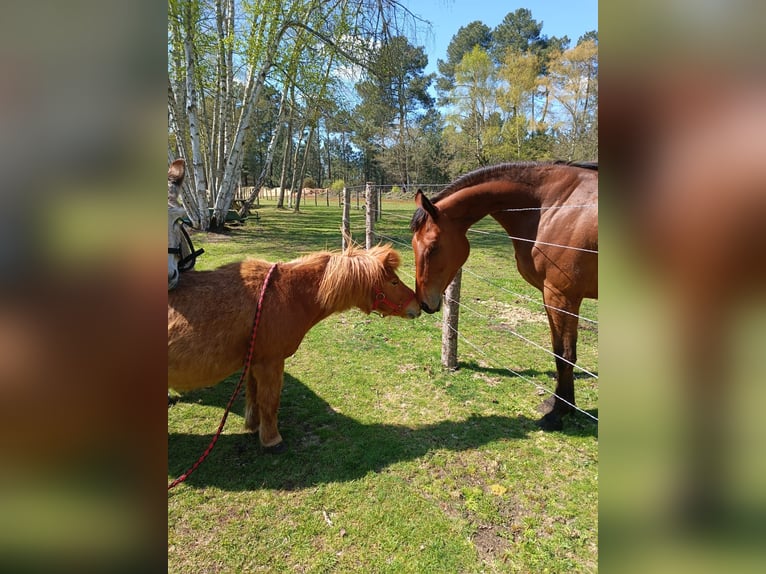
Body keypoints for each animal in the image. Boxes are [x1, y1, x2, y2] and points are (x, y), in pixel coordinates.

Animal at [169, 243, 424, 454]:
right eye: (393, 282)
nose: (418, 306)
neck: (284, 294)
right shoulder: (270, 362)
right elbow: (269, 400)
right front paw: (272, 440)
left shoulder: (254, 361)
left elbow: (253, 394)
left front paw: (254, 426)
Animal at [414, 162, 600, 432]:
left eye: (432, 247)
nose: (424, 302)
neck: (550, 207)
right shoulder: (554, 298)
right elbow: (560, 352)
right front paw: (561, 405)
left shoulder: (562, 297)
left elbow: (564, 354)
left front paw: (558, 413)